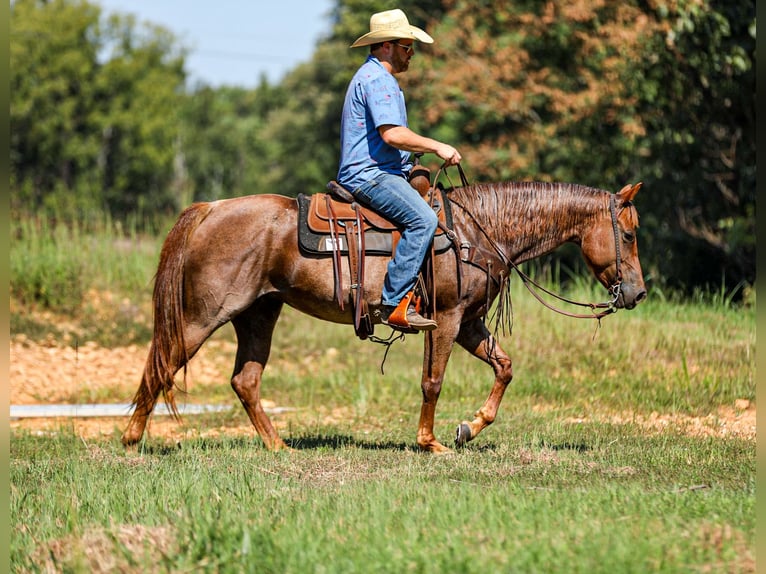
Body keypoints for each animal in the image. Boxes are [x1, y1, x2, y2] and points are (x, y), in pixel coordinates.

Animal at [121, 180, 646, 453]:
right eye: (629, 233)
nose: (638, 292)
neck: (477, 233)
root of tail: (210, 210)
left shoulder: (470, 322)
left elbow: (505, 367)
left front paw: (468, 428)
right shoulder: (447, 318)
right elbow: (433, 381)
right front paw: (429, 441)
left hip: (258, 314)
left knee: (244, 381)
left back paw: (278, 446)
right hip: (201, 316)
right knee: (161, 365)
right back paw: (130, 439)